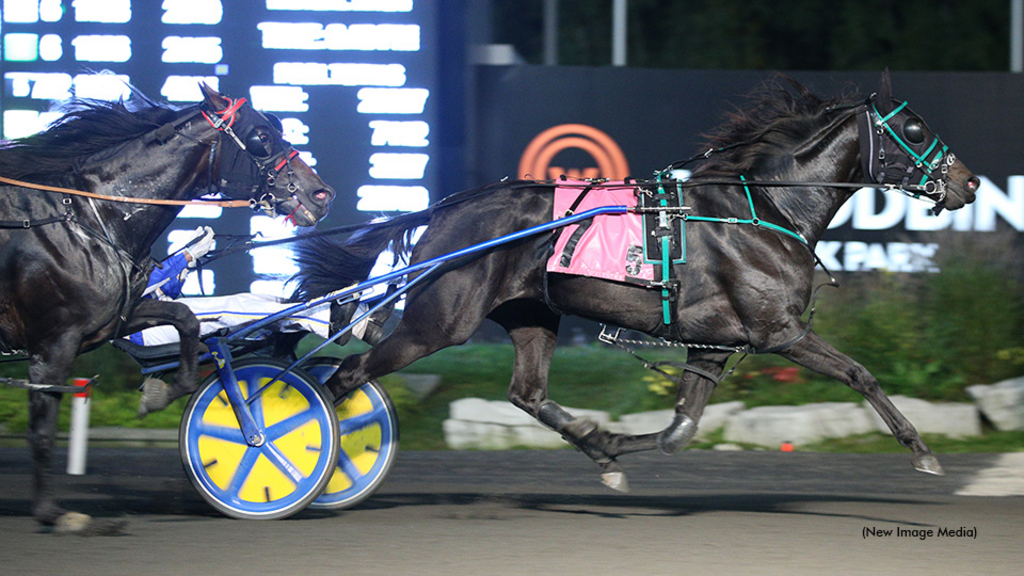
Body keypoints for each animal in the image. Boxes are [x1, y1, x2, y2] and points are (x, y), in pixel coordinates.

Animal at [0, 83, 335, 528]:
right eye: (262, 136)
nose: (322, 194)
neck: (90, 217)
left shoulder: (117, 318)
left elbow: (186, 319)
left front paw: (162, 393)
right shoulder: (54, 342)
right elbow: (42, 428)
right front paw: (52, 513)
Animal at [296, 72, 974, 487]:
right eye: (914, 129)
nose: (967, 182)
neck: (766, 208)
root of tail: (447, 208)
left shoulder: (713, 342)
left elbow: (680, 431)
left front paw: (616, 448)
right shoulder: (778, 332)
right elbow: (861, 374)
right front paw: (922, 450)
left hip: (532, 314)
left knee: (528, 394)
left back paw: (594, 444)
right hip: (441, 320)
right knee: (346, 377)